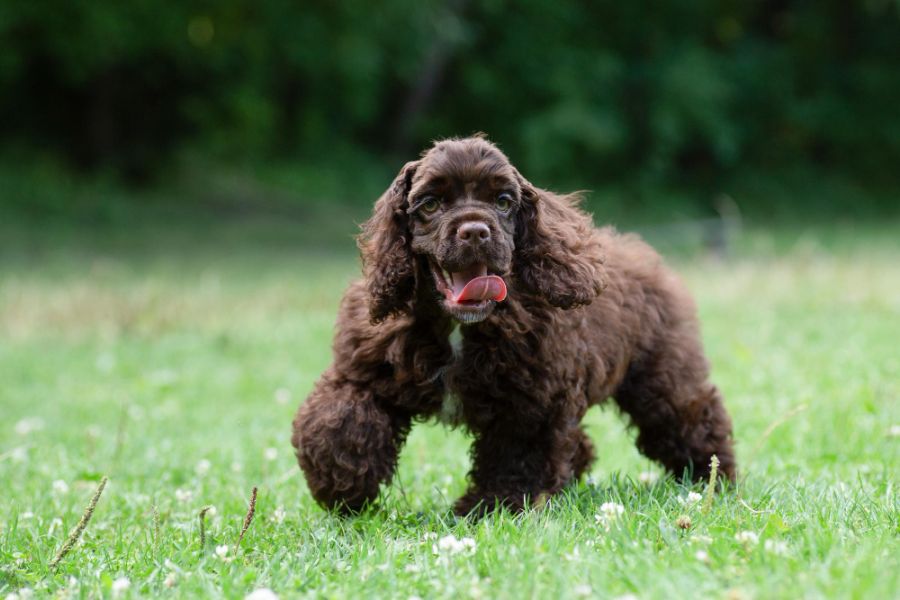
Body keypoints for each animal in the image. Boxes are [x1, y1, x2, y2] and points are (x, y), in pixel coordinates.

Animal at [292, 136, 736, 516]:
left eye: (503, 201)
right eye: (431, 204)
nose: (475, 231)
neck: (458, 327)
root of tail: (643, 253)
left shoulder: (532, 400)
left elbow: (516, 457)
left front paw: (491, 507)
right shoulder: (364, 370)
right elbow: (338, 423)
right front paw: (343, 486)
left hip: (659, 374)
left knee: (691, 416)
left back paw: (712, 478)